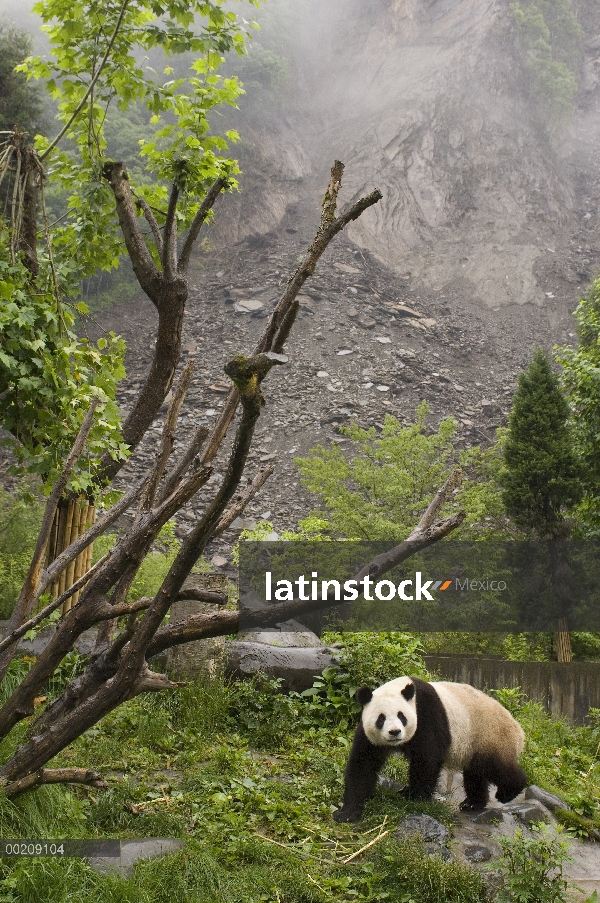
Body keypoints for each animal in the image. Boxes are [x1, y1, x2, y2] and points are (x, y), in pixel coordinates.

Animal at [336, 676, 528, 824]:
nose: (395, 732)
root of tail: (519, 730)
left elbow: (427, 759)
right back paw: (473, 803)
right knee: (475, 773)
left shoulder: (426, 715)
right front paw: (346, 813)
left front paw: (416, 797)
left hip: (489, 735)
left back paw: (508, 791)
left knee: (495, 766)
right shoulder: (370, 736)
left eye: (401, 716)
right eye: (381, 718)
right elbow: (363, 765)